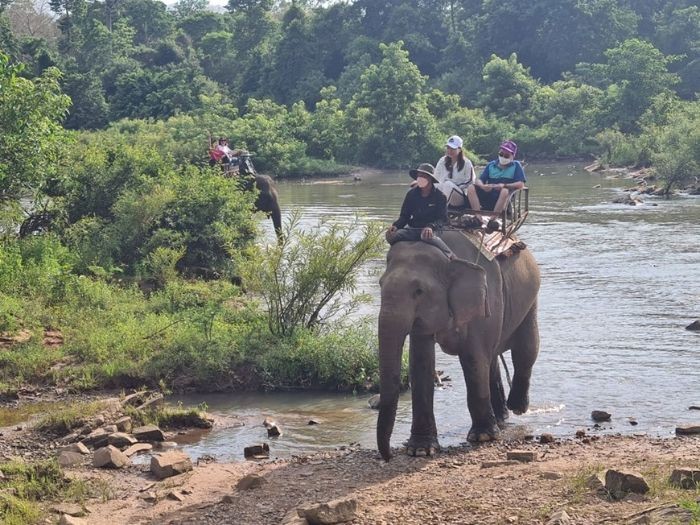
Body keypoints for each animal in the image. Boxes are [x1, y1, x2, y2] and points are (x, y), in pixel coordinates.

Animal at [378, 231, 540, 460]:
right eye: (380, 284)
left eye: (419, 291)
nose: (388, 456)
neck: (447, 255)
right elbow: (420, 361)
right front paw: (420, 450)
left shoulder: (485, 298)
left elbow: (473, 357)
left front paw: (482, 438)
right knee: (492, 361)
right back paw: (501, 419)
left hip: (530, 297)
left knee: (525, 350)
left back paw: (516, 408)